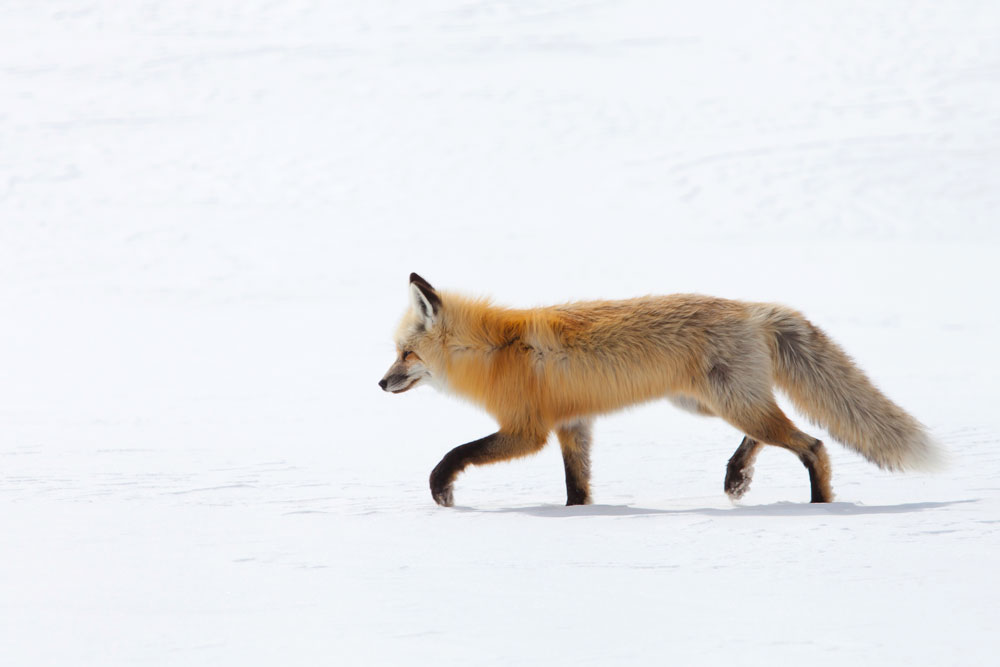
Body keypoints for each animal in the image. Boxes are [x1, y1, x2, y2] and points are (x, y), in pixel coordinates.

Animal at [378, 272, 940, 506]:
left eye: (405, 354)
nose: (381, 382)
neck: (496, 349)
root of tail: (754, 309)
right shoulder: (573, 426)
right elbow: (577, 489)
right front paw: (576, 519)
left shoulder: (526, 430)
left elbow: (455, 452)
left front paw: (442, 489)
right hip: (709, 404)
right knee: (773, 434)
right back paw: (738, 477)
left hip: (727, 403)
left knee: (814, 445)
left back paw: (823, 507)